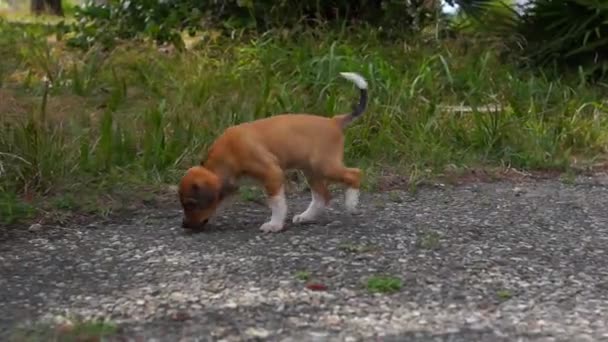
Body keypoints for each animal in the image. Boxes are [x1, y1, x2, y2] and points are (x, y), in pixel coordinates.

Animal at [178, 72, 368, 232]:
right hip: (311, 170)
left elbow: (277, 204)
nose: (184, 225)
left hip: (324, 165)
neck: (227, 155)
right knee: (323, 196)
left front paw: (274, 225)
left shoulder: (272, 174)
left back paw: (351, 203)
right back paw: (306, 216)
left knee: (355, 174)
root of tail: (334, 121)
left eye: (191, 204)